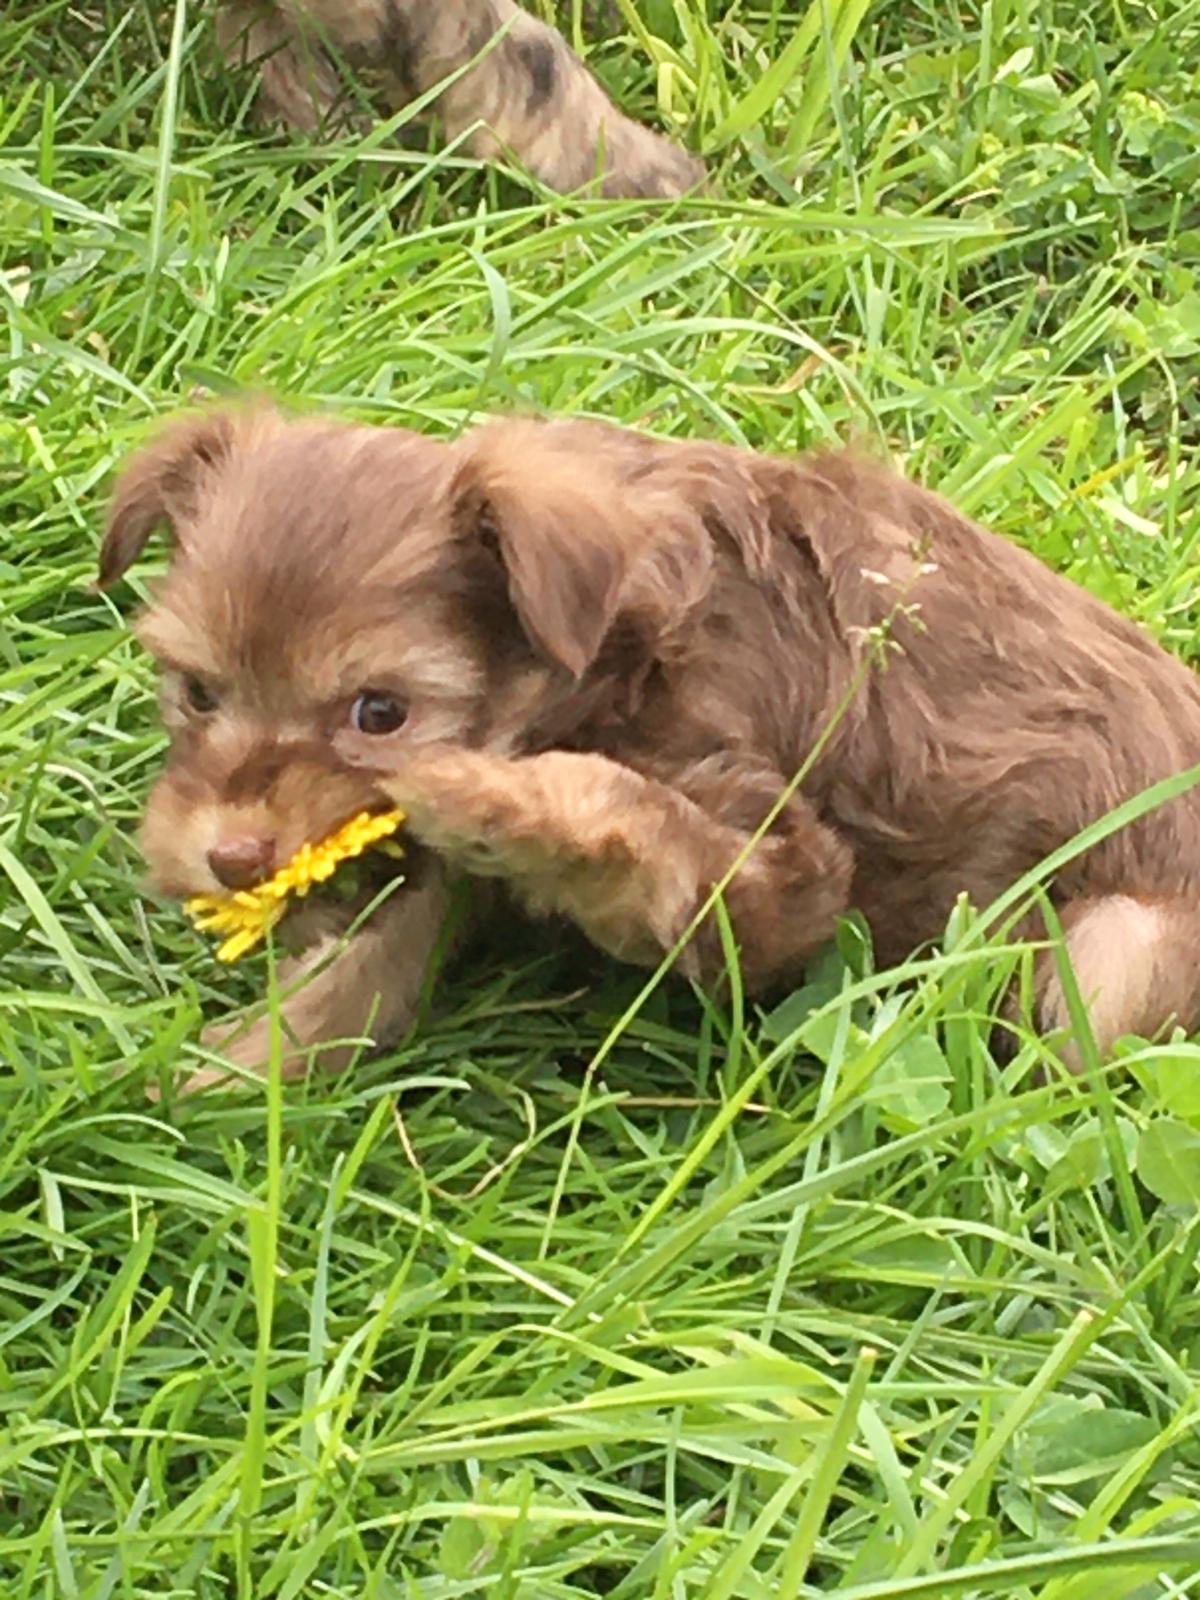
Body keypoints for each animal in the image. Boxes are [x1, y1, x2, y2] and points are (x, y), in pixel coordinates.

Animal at [98, 402, 1200, 1086]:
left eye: (379, 713)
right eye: (197, 691)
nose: (234, 856)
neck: (604, 645)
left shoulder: (781, 859)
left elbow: (630, 814)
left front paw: (508, 805)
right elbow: (386, 946)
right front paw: (241, 1072)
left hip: (1120, 945)